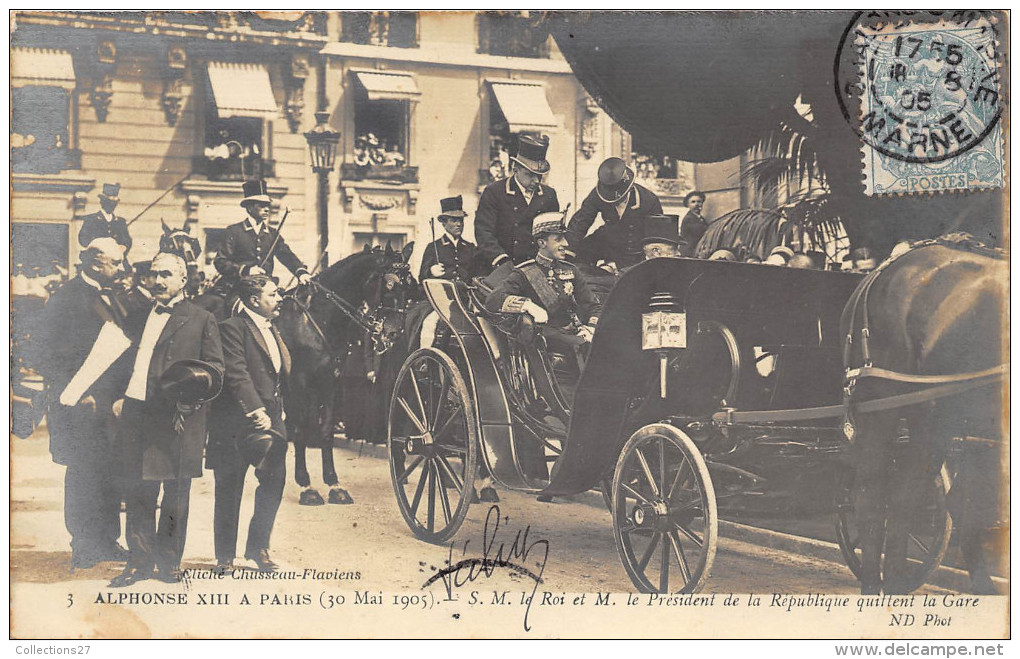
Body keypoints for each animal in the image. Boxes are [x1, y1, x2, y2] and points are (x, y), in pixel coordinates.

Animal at [277, 243, 416, 505]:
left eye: (410, 285)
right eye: (389, 284)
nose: (394, 333)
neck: (316, 319)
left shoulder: (329, 381)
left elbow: (326, 430)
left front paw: (334, 484)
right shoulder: (299, 383)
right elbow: (300, 429)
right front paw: (306, 486)